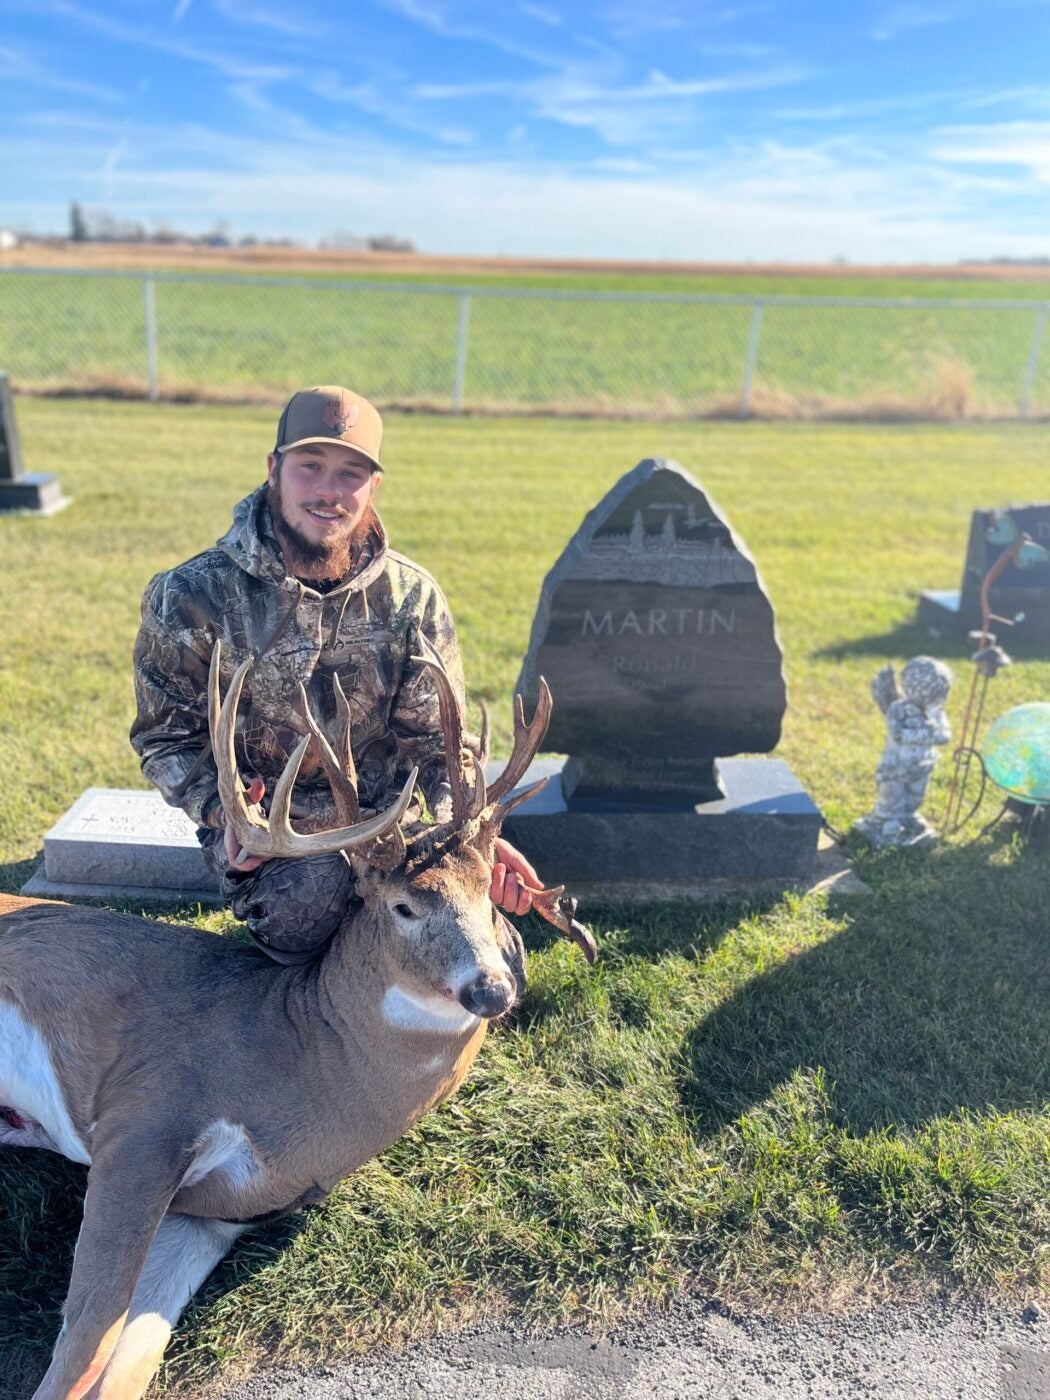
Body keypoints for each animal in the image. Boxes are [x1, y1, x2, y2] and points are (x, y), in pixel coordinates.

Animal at [0, 641, 596, 1400]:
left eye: (488, 898)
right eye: (403, 906)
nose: (493, 989)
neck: (297, 1061)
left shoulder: (212, 1215)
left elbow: (121, 1365)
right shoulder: (145, 1115)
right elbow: (84, 1345)